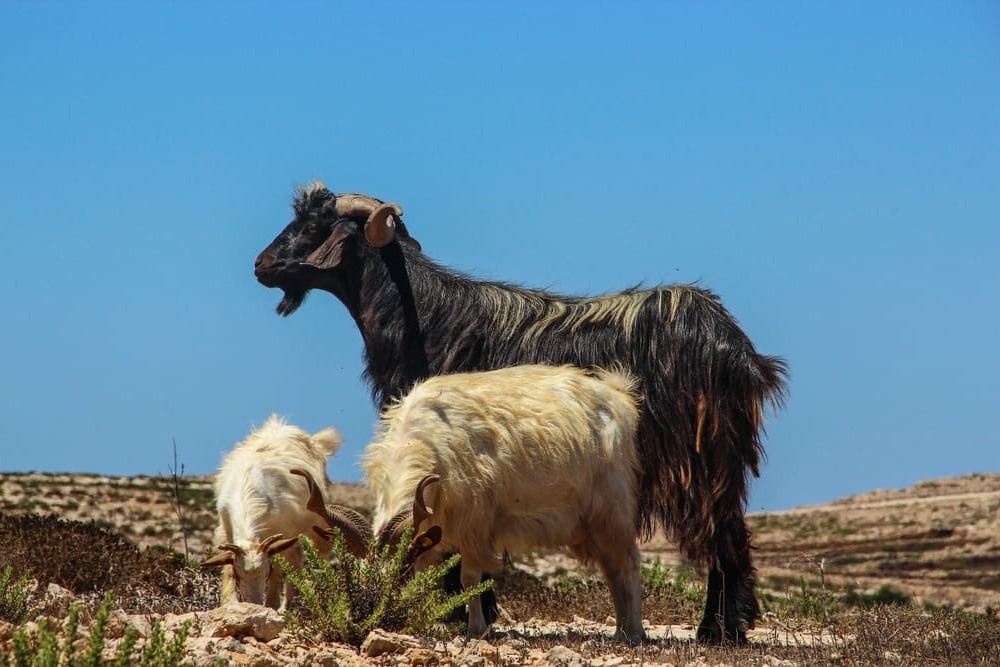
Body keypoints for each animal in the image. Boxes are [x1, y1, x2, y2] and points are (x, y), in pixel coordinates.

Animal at [203, 414, 344, 608]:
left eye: (266, 571)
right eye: (239, 574)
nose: (254, 603)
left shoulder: (281, 534)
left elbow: (278, 569)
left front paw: (271, 604)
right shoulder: (226, 529)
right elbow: (227, 568)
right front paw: (229, 602)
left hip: (315, 519)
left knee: (314, 553)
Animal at [364, 362, 644, 644]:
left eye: (402, 573)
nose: (384, 616)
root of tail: (618, 396)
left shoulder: (474, 524)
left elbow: (469, 578)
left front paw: (476, 630)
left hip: (612, 508)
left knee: (628, 563)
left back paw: (634, 633)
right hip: (591, 524)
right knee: (612, 570)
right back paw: (620, 631)